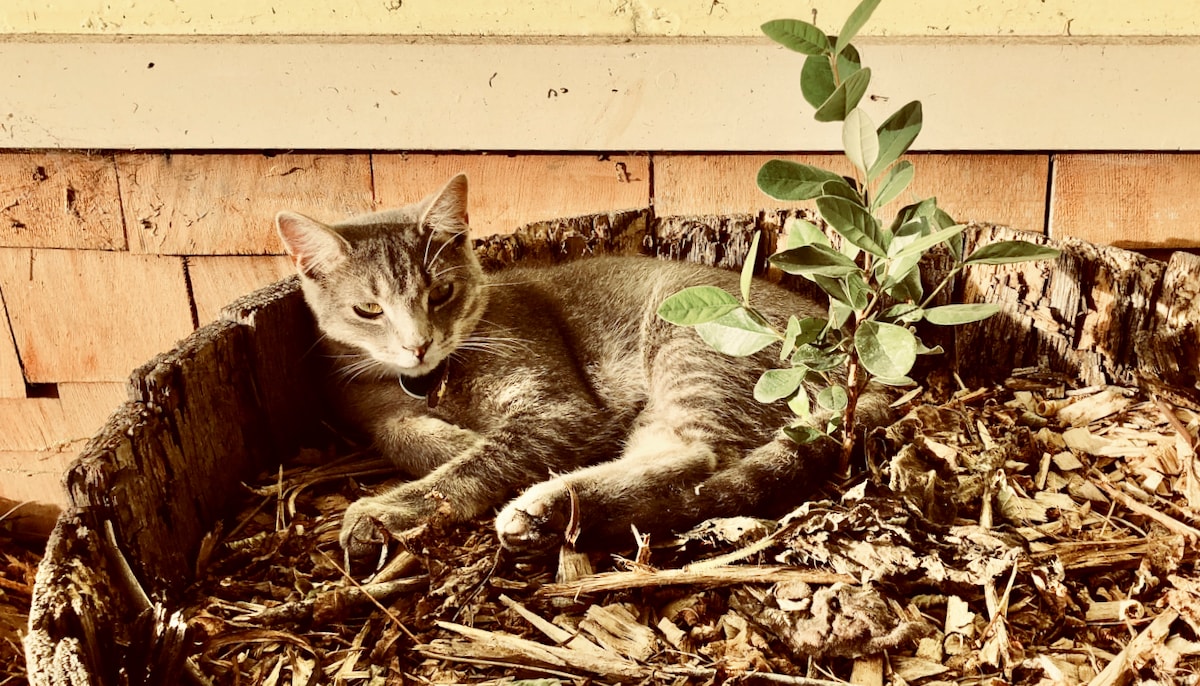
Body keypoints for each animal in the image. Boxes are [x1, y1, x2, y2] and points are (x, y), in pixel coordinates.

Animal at [274, 173, 873, 558]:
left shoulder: (561, 410)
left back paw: (544, 505)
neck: (437, 379)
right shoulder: (368, 405)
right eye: (368, 309)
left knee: (697, 456)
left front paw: (383, 509)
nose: (419, 345)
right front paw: (450, 440)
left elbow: (474, 466)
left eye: (441, 292)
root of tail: (848, 347)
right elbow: (401, 434)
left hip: (689, 352)